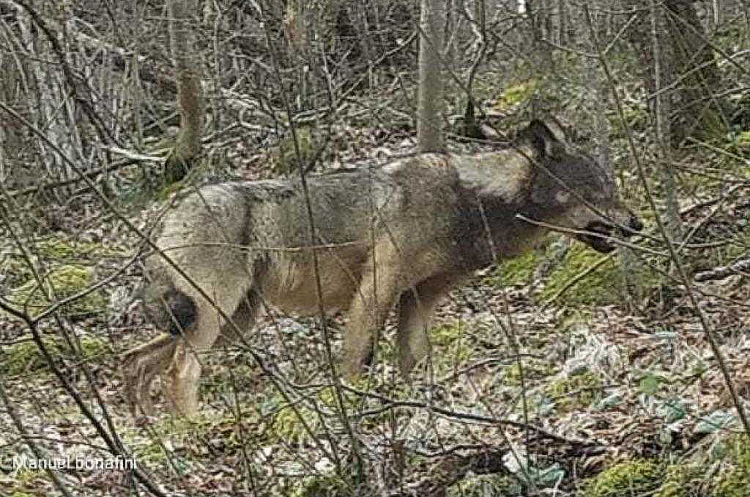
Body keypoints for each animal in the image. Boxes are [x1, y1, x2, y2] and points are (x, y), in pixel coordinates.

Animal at [123, 120, 642, 417]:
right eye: (598, 191)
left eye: (612, 188)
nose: (638, 224)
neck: (469, 202)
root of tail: (169, 210)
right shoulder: (376, 289)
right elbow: (359, 360)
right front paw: (359, 409)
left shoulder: (419, 300)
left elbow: (414, 362)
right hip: (214, 317)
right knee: (180, 371)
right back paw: (194, 430)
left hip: (230, 321)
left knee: (136, 360)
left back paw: (151, 435)